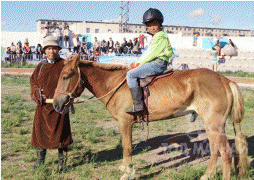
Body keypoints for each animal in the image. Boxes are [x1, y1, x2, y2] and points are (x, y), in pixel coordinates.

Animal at [52, 54, 248, 180]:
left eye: (66, 76)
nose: (56, 104)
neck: (115, 85)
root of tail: (225, 80)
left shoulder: (125, 122)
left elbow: (127, 146)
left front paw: (128, 172)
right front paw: (125, 168)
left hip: (214, 124)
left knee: (226, 152)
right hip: (213, 125)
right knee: (216, 150)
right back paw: (207, 175)